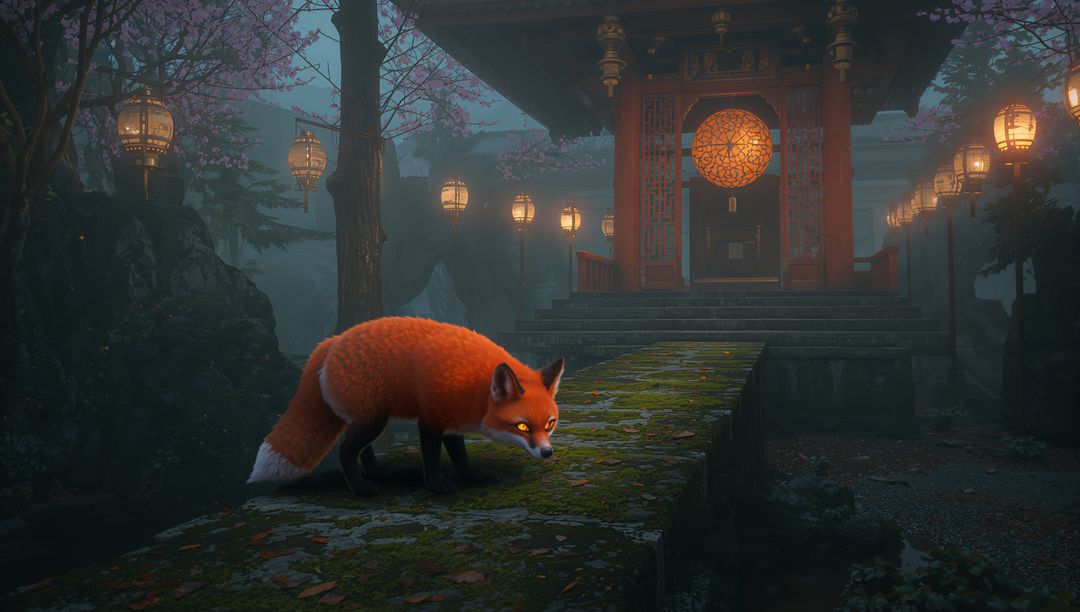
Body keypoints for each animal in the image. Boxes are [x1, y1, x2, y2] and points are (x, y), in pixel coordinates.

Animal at [247, 316, 565, 496]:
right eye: (522, 426)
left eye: (549, 424)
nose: (547, 453)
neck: (474, 386)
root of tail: (331, 341)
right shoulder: (431, 421)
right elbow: (432, 458)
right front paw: (437, 486)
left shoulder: (452, 422)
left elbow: (460, 456)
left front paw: (470, 476)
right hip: (373, 419)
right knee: (346, 450)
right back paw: (360, 488)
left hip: (370, 418)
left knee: (360, 448)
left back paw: (376, 472)